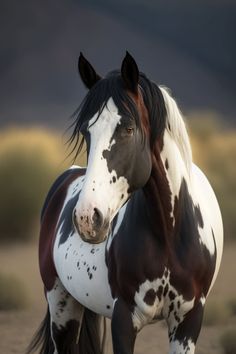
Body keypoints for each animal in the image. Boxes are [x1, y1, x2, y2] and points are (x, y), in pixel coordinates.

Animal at [27, 52, 223, 354]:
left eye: (129, 128)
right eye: (86, 132)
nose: (87, 218)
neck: (168, 233)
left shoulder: (189, 320)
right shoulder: (124, 319)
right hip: (61, 307)